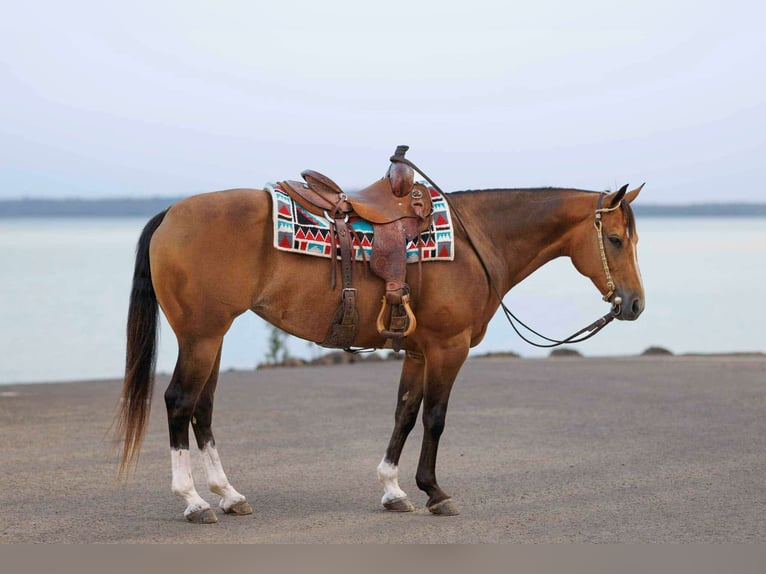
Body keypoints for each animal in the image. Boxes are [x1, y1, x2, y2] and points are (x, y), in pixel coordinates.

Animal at [116, 179, 644, 523]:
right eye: (616, 239)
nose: (635, 303)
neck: (477, 241)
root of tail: (171, 214)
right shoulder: (448, 348)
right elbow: (435, 418)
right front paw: (434, 491)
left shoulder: (417, 352)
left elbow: (404, 414)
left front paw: (393, 490)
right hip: (201, 336)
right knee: (179, 402)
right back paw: (194, 501)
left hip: (213, 338)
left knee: (202, 408)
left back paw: (228, 495)